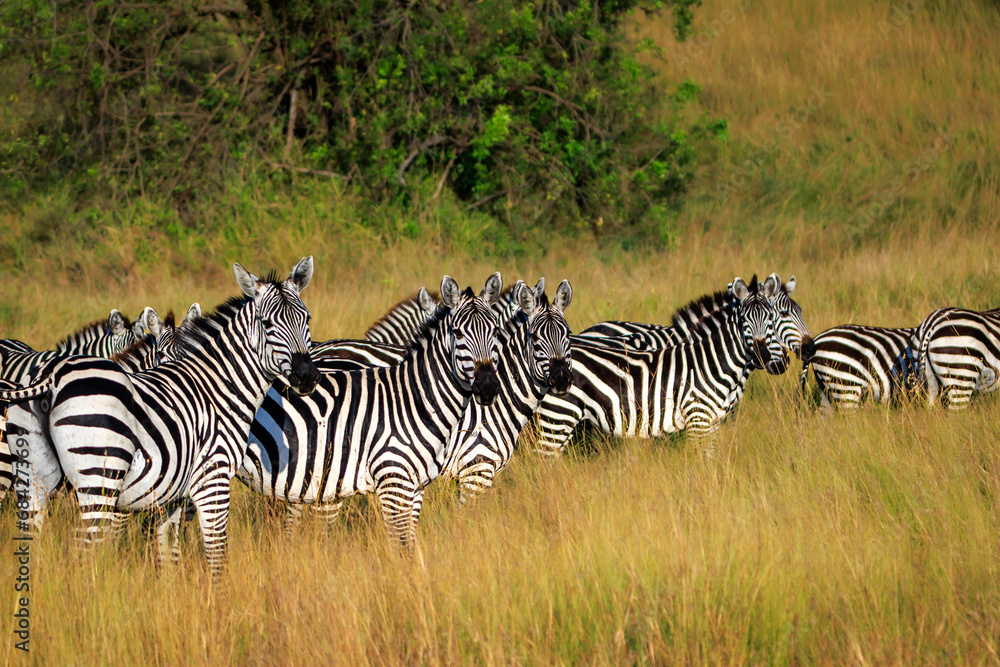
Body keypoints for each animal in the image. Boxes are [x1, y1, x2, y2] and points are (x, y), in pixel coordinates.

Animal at [0, 258, 319, 577]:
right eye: (267, 324)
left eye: (307, 319)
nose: (306, 376)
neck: (218, 388)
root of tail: (51, 375)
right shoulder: (212, 478)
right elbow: (216, 555)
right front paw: (217, 591)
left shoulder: (173, 494)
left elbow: (168, 552)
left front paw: (170, 587)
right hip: (98, 477)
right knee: (85, 549)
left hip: (34, 476)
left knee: (32, 540)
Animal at [237, 273, 504, 552]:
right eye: (458, 332)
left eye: (495, 331)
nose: (487, 386)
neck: (413, 398)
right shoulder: (397, 480)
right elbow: (402, 545)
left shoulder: (414, 485)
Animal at [535, 275, 787, 455]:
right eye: (744, 320)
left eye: (771, 319)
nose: (763, 356)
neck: (712, 361)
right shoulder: (697, 419)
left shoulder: (714, 421)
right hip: (557, 417)